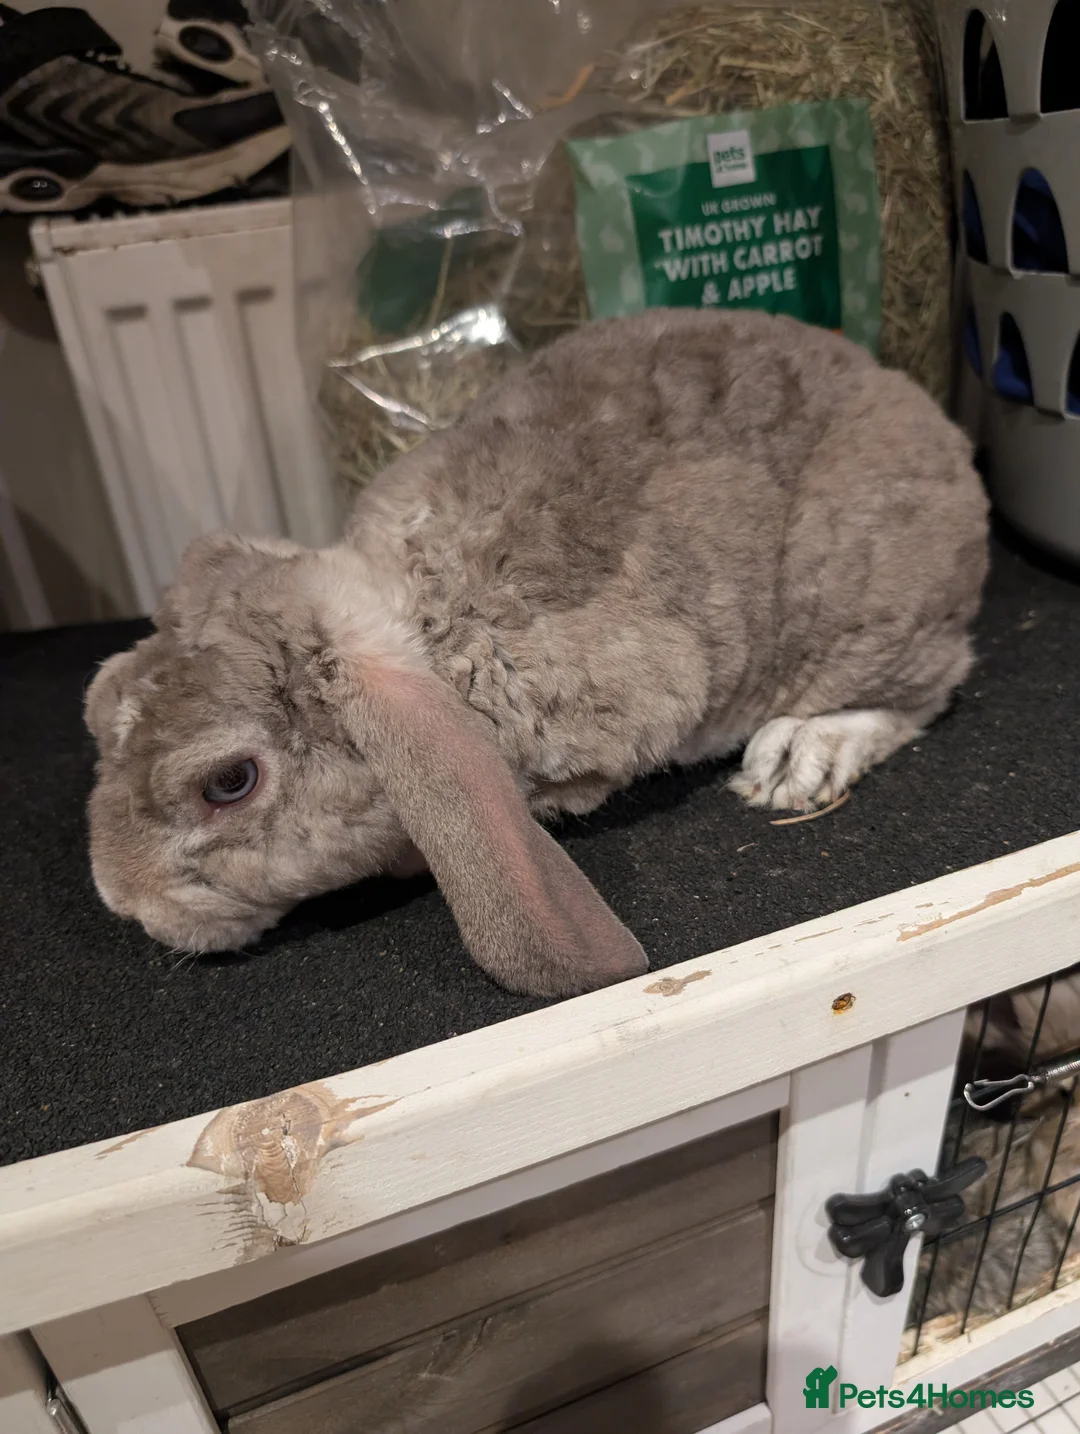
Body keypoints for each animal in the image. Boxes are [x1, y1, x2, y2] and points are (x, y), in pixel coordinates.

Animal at [84, 307, 989, 999]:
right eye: (98, 702)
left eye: (228, 783)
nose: (120, 899)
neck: (427, 621)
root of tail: (935, 426)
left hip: (868, 615)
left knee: (927, 689)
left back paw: (799, 759)